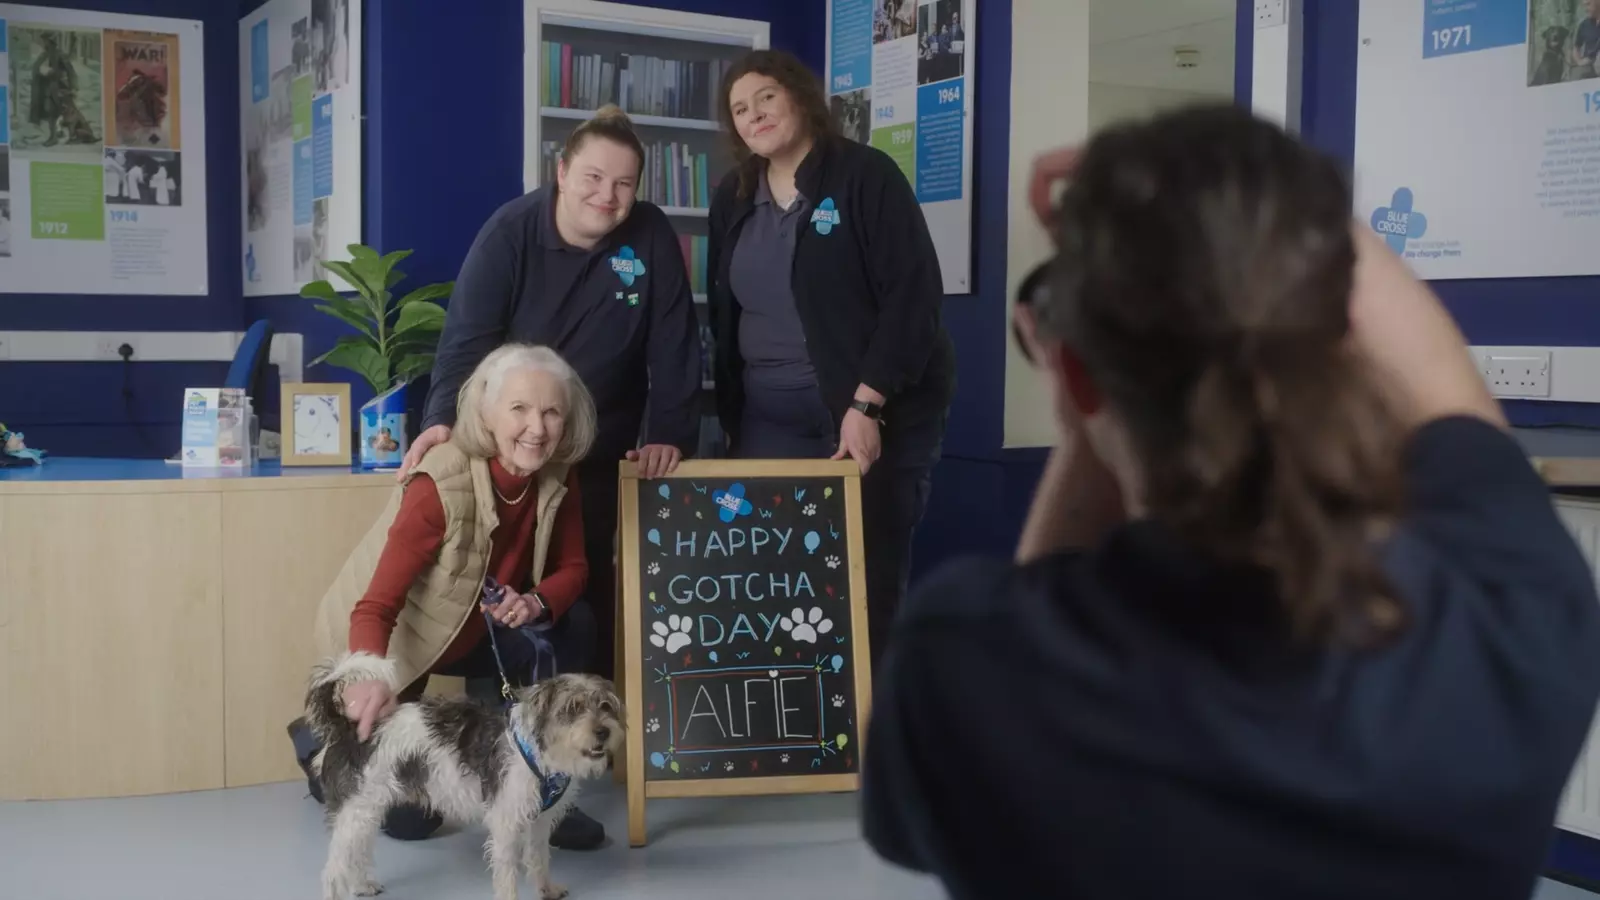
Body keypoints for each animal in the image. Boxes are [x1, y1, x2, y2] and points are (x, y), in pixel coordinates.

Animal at [305, 650, 624, 896]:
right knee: (333, 870)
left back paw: (362, 885)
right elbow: (507, 875)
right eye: (572, 708)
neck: (539, 751)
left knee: (356, 854)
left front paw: (547, 890)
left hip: (366, 812)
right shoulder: (506, 823)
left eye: (606, 706)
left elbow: (539, 857)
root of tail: (346, 727)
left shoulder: (539, 820)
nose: (603, 732)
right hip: (355, 811)